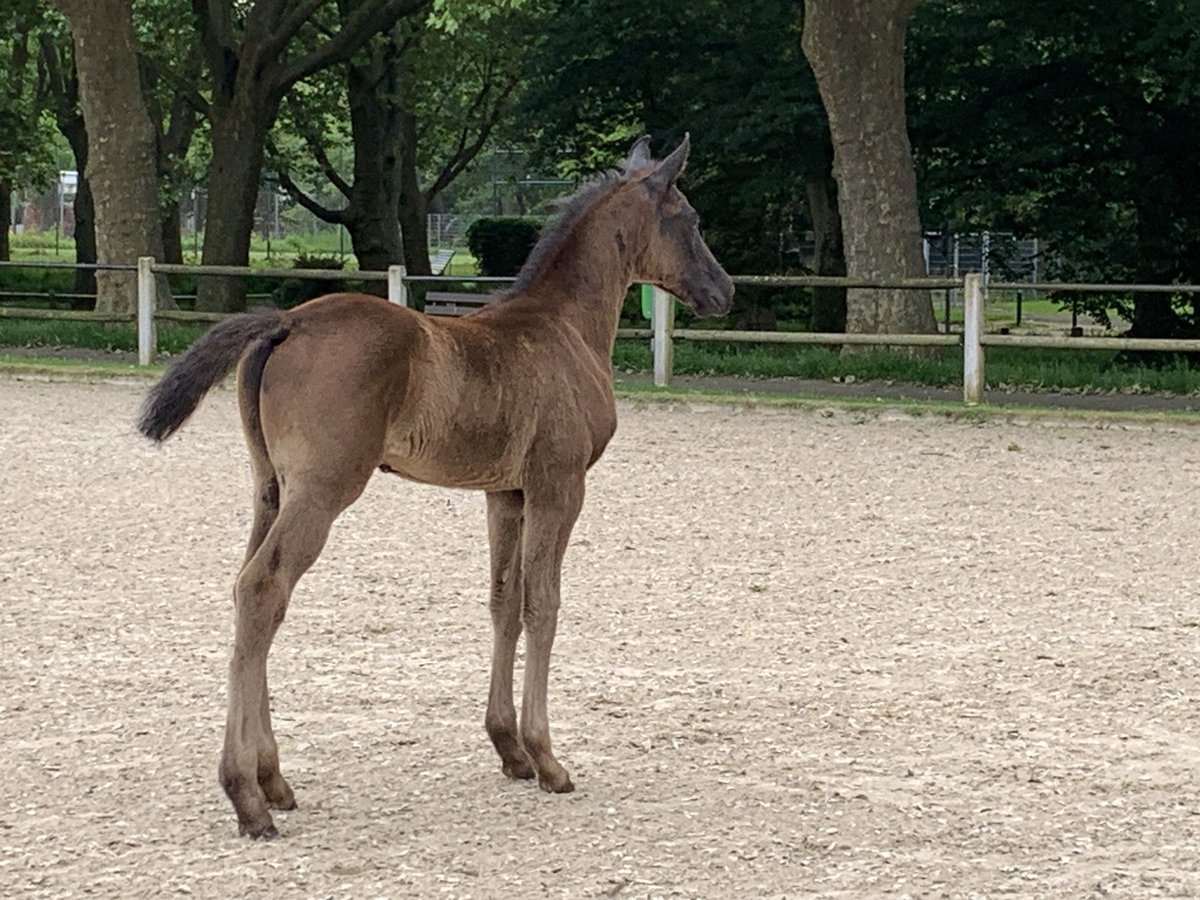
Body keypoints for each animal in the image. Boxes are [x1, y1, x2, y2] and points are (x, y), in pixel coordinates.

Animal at [142, 135, 739, 840]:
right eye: (691, 219)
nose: (725, 290)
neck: (564, 327)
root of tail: (288, 321)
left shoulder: (505, 494)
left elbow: (504, 603)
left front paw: (509, 749)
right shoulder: (558, 486)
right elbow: (544, 605)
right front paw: (548, 759)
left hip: (271, 488)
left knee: (248, 591)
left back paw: (273, 780)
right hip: (322, 490)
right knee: (265, 589)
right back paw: (247, 798)